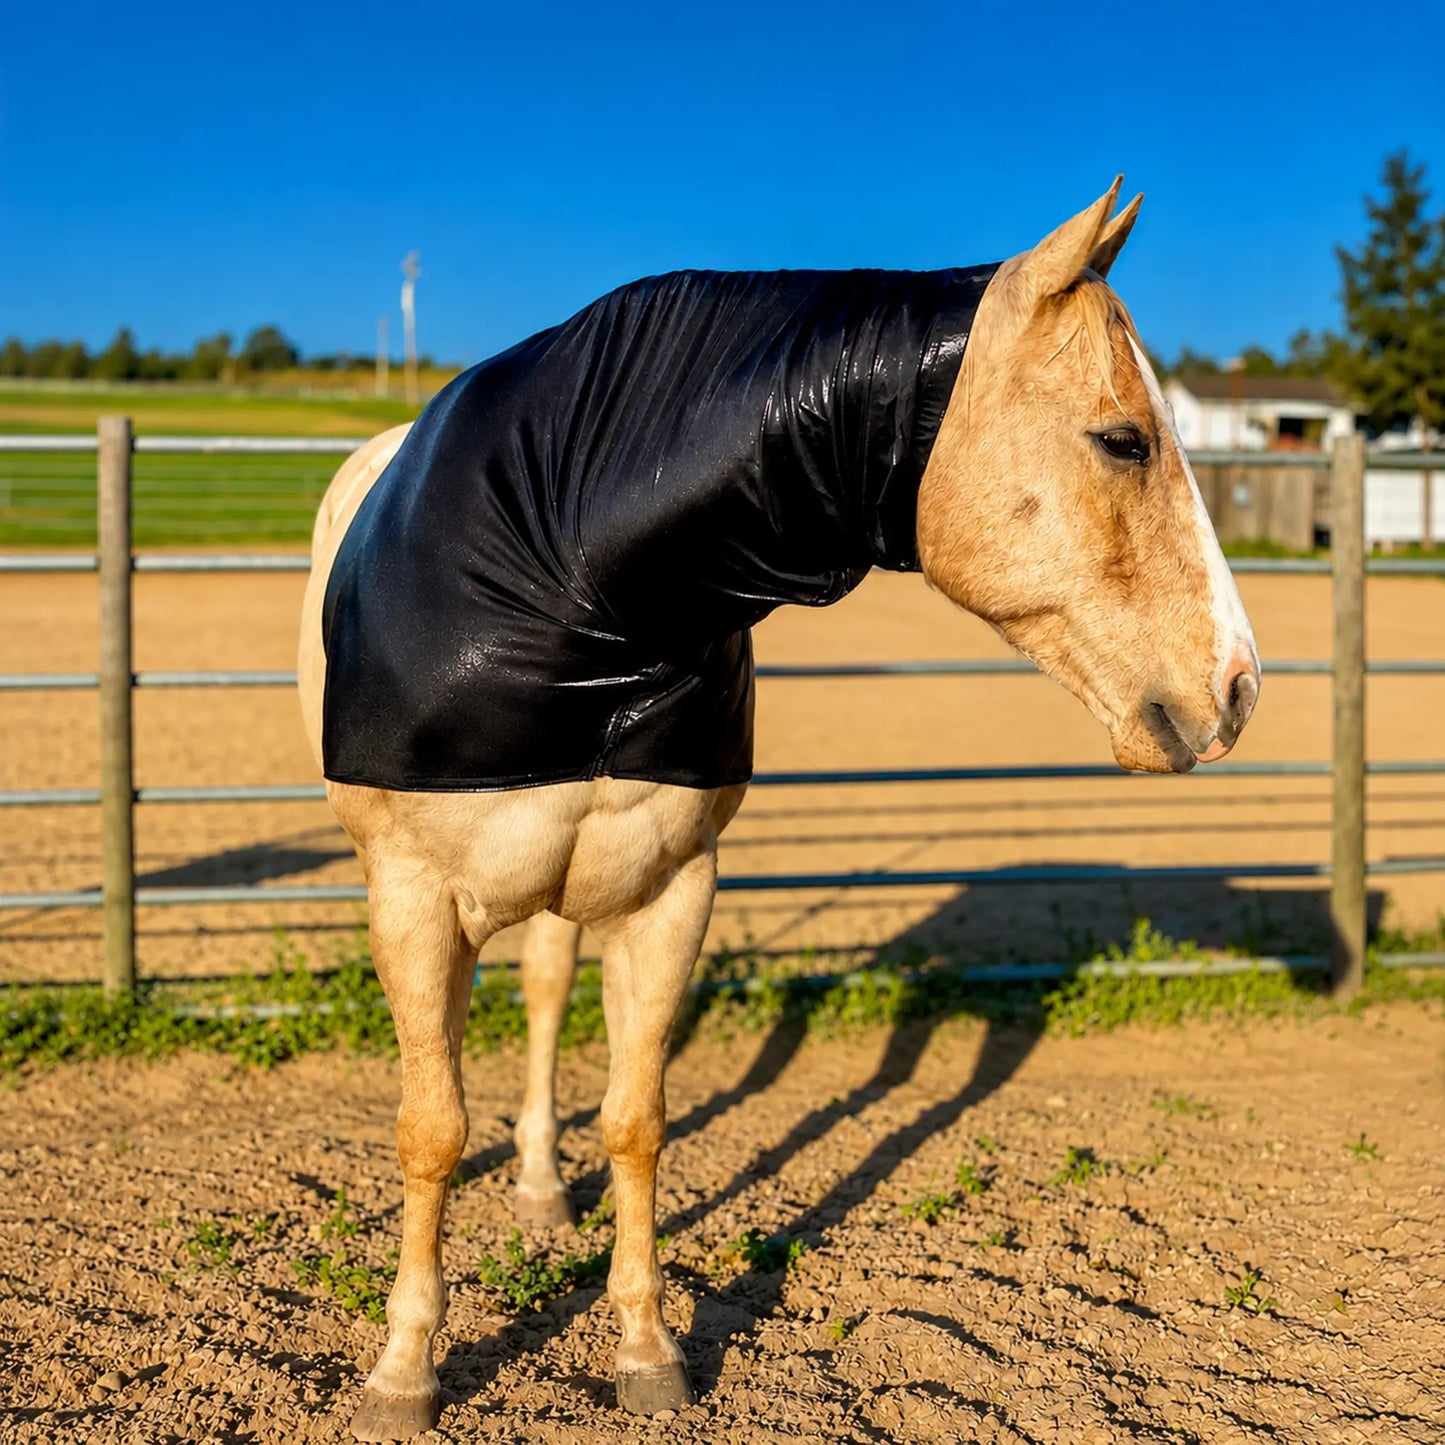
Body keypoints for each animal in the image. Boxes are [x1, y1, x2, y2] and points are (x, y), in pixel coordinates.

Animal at [298, 179, 1260, 1440]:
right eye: (1122, 438)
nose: (1237, 686)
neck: (579, 578)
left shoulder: (671, 895)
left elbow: (636, 1117)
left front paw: (646, 1347)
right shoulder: (410, 902)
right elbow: (430, 1130)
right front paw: (404, 1368)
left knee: (550, 990)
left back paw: (544, 1186)